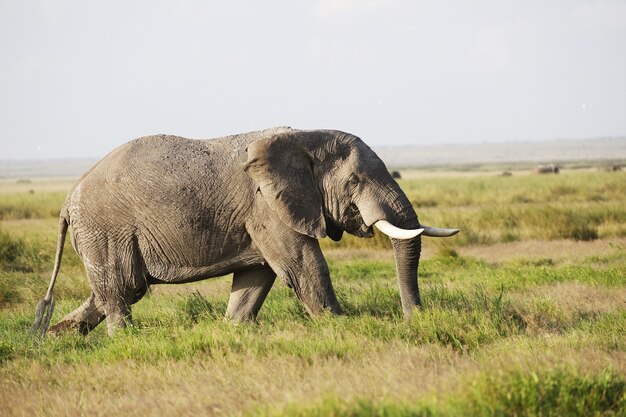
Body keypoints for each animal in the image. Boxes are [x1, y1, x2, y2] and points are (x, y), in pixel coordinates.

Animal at [29, 126, 456, 334]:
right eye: (355, 181)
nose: (412, 320)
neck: (305, 137)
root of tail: (68, 200)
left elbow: (257, 276)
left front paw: (234, 329)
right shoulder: (266, 205)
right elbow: (303, 265)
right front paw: (342, 325)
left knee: (115, 290)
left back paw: (54, 338)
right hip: (105, 229)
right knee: (120, 290)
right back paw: (127, 342)